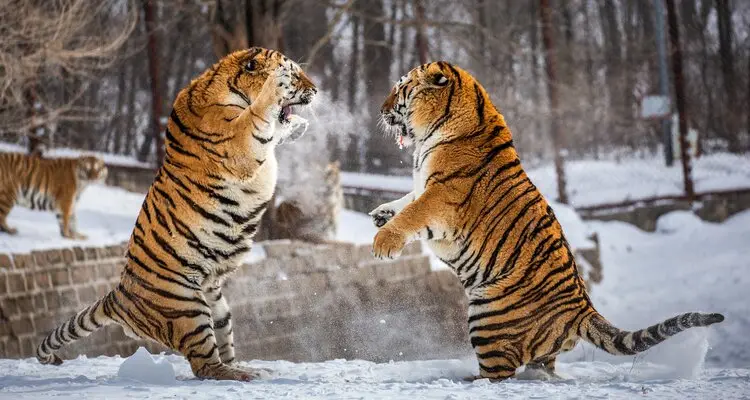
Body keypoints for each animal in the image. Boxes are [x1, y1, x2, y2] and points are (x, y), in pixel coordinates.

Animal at [35, 47, 317, 381]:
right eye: (295, 73)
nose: (315, 90)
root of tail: (118, 295)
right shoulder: (239, 143)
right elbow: (259, 116)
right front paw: (276, 87)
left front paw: (297, 125)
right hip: (188, 308)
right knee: (204, 366)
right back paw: (243, 375)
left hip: (218, 307)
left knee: (221, 349)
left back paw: (244, 366)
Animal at [370, 61, 724, 381]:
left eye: (401, 87)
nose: (381, 109)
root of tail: (582, 308)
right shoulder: (425, 187)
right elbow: (406, 200)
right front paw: (381, 214)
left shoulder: (441, 197)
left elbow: (413, 211)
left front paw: (383, 243)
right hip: (526, 341)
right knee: (542, 369)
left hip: (488, 316)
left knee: (498, 375)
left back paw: (463, 379)